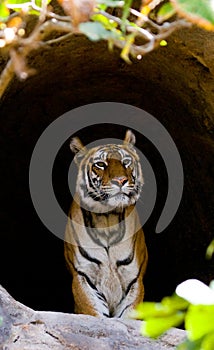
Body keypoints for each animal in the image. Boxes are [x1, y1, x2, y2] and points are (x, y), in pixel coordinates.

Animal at [64, 130, 148, 318]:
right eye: (101, 164)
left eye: (126, 162)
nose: (121, 180)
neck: (108, 220)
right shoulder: (83, 276)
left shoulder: (133, 280)